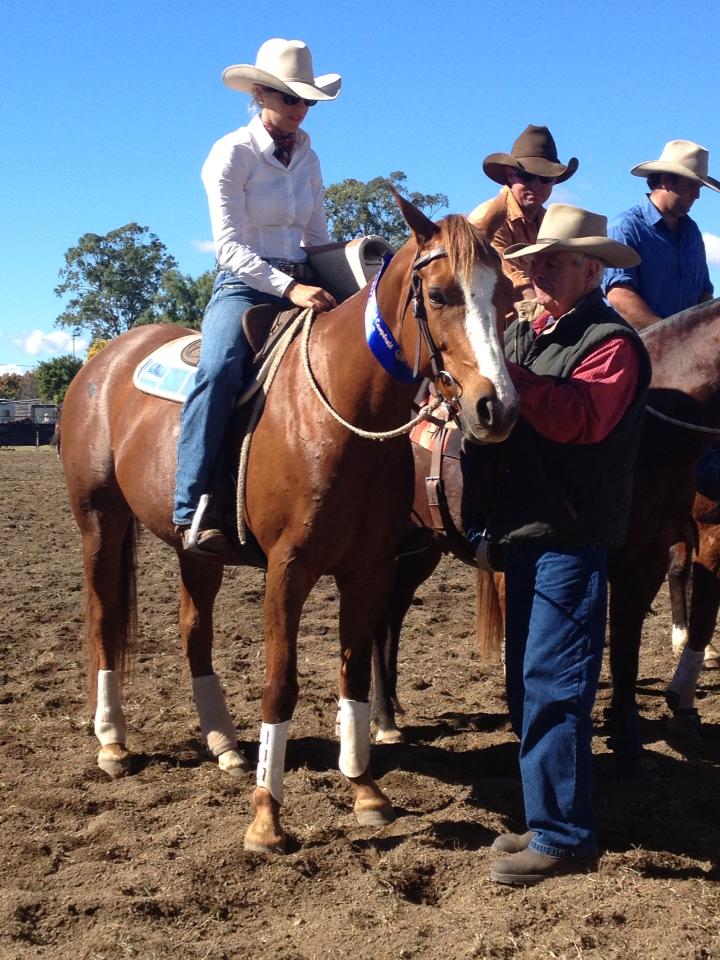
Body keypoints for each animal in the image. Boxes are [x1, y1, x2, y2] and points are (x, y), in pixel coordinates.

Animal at [60, 195, 519, 855]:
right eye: (438, 294)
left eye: (504, 292)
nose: (495, 408)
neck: (342, 411)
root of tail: (104, 360)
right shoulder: (288, 569)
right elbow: (281, 684)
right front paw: (266, 817)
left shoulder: (369, 569)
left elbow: (353, 672)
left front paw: (364, 789)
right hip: (99, 519)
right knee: (104, 618)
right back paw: (113, 742)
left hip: (196, 548)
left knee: (193, 626)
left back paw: (224, 743)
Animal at [371, 298, 720, 774]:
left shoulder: (644, 562)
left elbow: (625, 652)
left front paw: (627, 739)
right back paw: (383, 721)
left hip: (421, 548)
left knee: (393, 615)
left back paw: (391, 708)